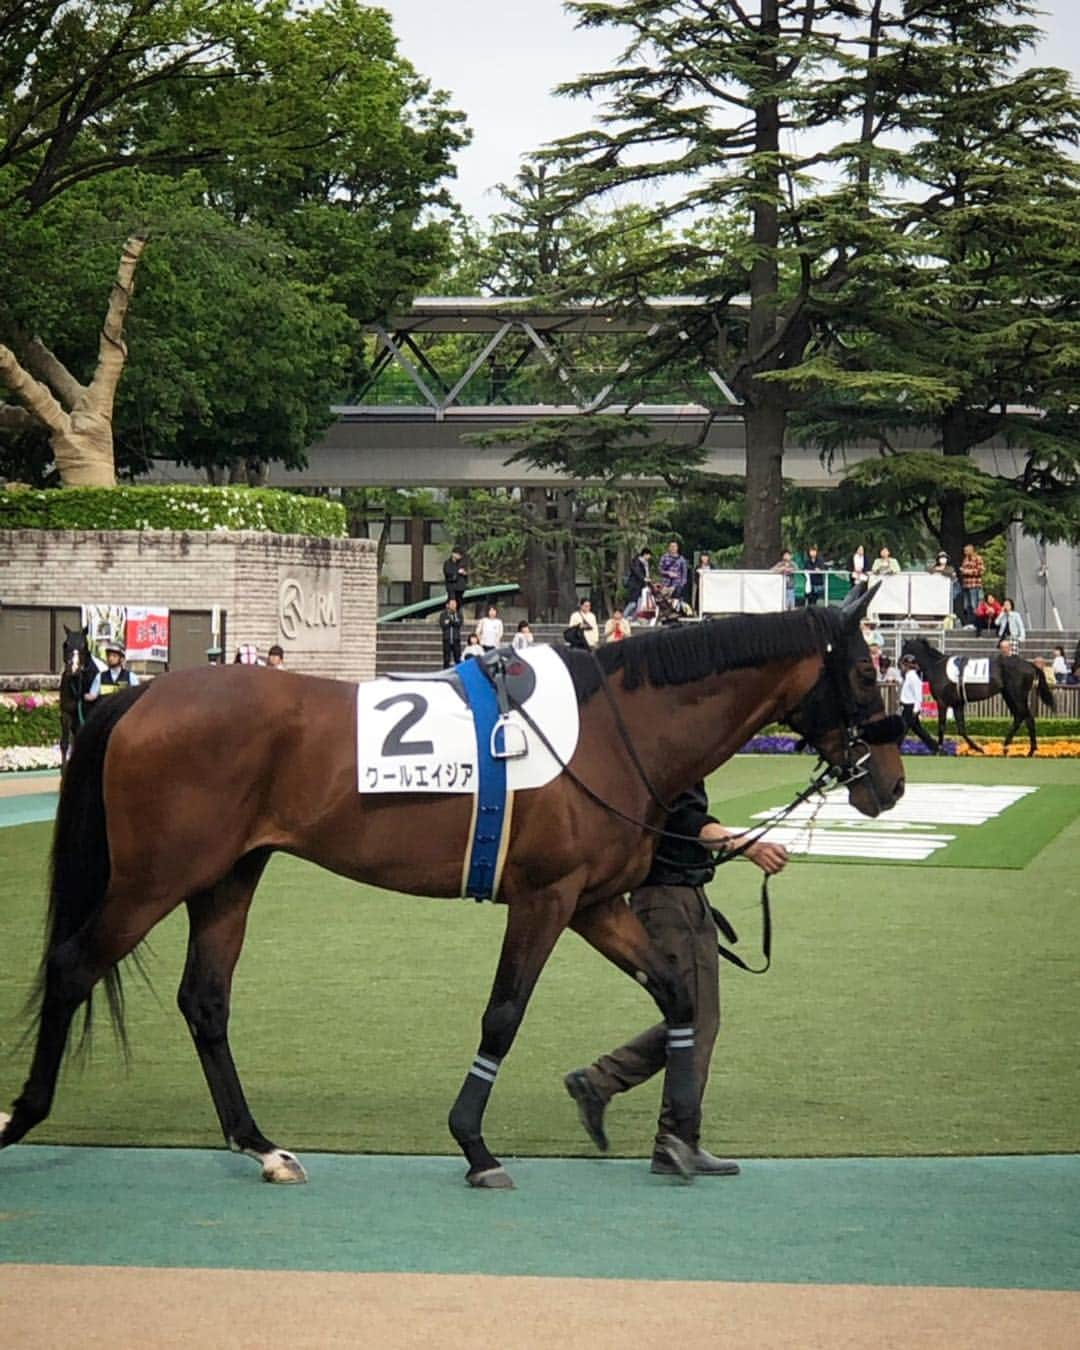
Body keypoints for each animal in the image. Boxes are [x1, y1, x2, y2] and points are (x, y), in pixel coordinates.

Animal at [2, 585, 901, 1188]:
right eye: (865, 676)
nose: (889, 786)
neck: (616, 730)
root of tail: (143, 693)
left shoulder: (593, 904)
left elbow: (678, 993)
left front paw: (677, 1140)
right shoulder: (545, 899)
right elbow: (503, 1013)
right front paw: (473, 1142)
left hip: (227, 876)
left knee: (206, 1000)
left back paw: (261, 1144)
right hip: (156, 877)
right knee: (72, 965)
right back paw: (25, 1115)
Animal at [901, 634, 1053, 756]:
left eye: (904, 649)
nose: (899, 663)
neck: (936, 666)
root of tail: (1031, 665)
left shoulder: (942, 702)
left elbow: (942, 726)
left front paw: (940, 749)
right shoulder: (957, 704)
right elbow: (961, 729)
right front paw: (978, 748)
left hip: (1016, 695)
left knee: (1025, 717)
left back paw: (1023, 748)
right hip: (1009, 695)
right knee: (1022, 717)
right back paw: (1016, 748)